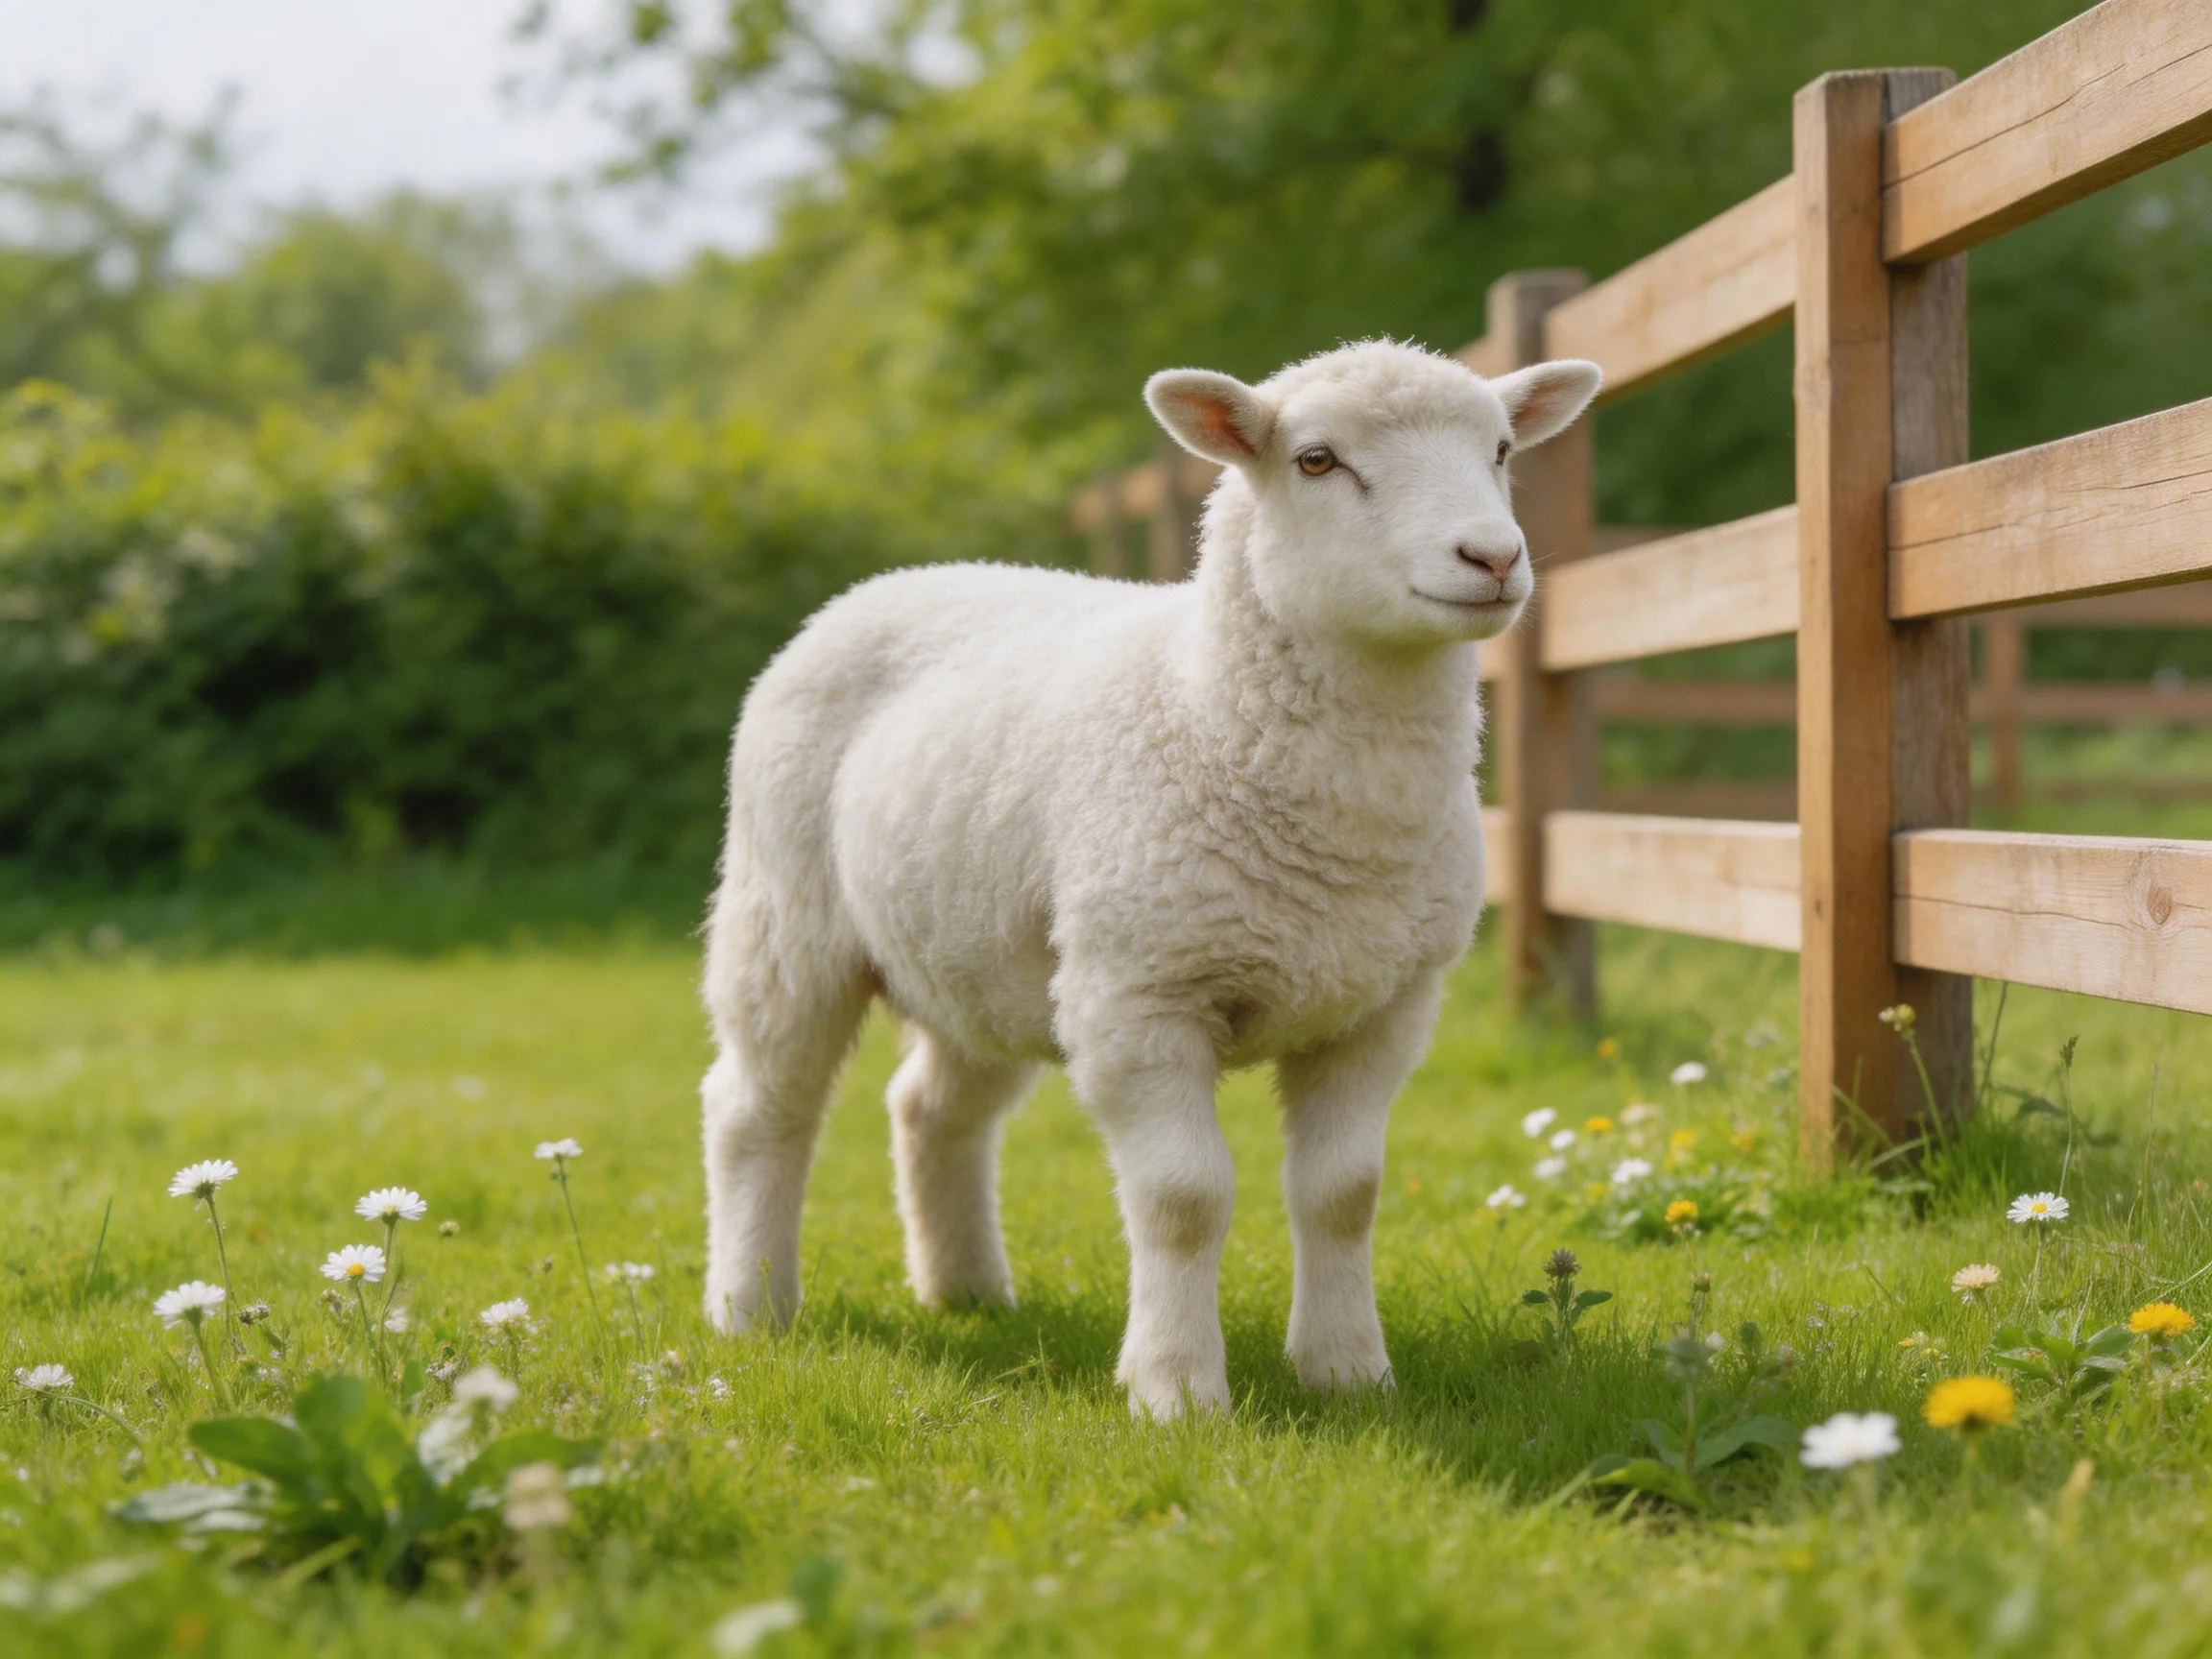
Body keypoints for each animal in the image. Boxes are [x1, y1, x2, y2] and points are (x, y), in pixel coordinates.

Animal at [700, 338, 1601, 1417]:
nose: (1493, 558)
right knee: (758, 1108)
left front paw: (1347, 1371)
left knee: (931, 1109)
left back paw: (966, 1291)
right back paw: (749, 1306)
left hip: (986, 955)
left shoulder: (1382, 1006)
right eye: (1315, 460)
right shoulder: (1140, 996)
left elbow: (1344, 1195)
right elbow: (1183, 1198)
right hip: (785, 915)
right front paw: (1176, 1391)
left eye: (1502, 449)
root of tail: (895, 580)